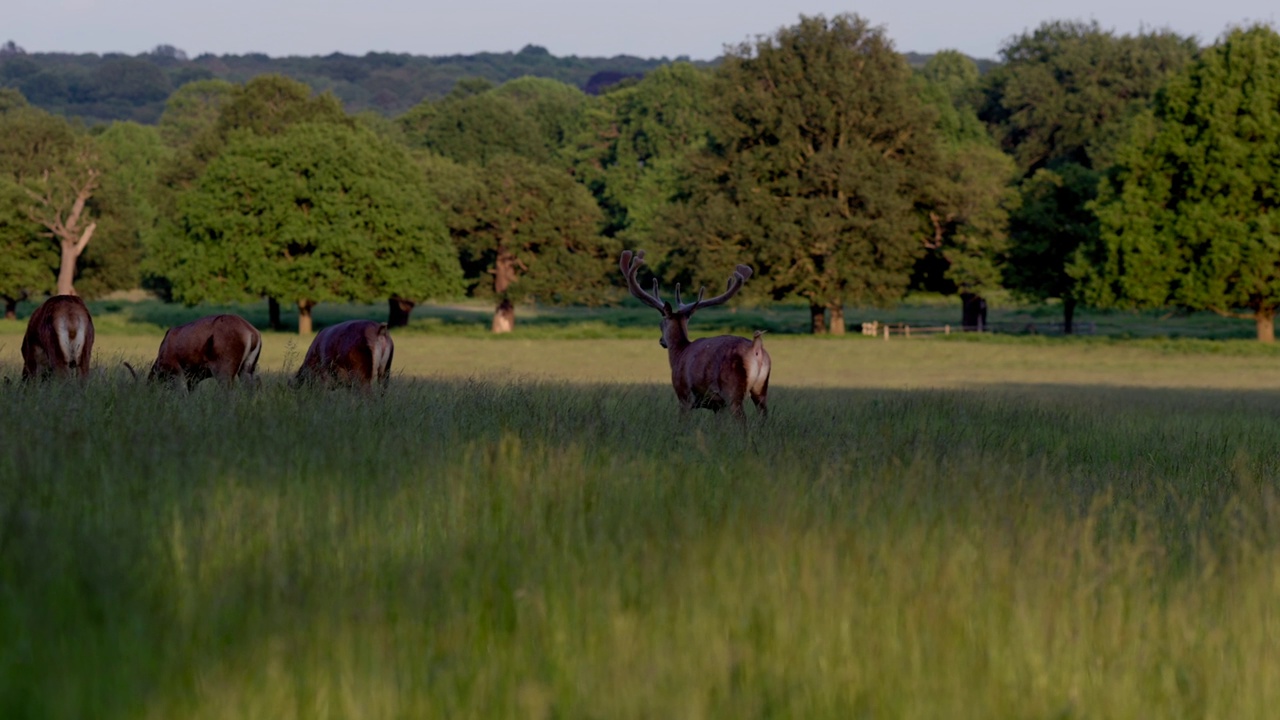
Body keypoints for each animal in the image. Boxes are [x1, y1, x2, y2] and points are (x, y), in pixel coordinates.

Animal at [619, 249, 768, 417]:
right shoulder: (718, 406)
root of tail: (756, 348)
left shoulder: (683, 395)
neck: (679, 352)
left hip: (733, 389)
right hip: (761, 388)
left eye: (660, 323)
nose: (661, 341)